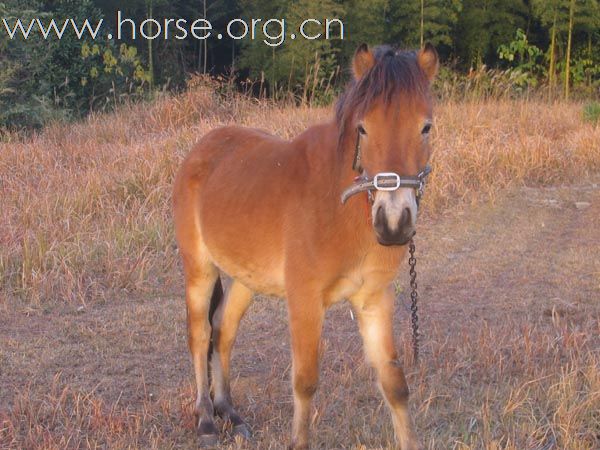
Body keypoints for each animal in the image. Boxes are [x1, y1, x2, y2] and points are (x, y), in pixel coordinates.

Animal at [171, 43, 438, 450]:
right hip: (199, 270)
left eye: (425, 126)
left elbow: (394, 383)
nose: (393, 223)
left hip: (244, 280)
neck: (341, 209)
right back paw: (205, 420)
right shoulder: (305, 301)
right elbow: (305, 382)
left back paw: (231, 413)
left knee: (223, 332)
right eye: (363, 127)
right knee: (200, 336)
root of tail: (199, 150)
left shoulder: (374, 300)